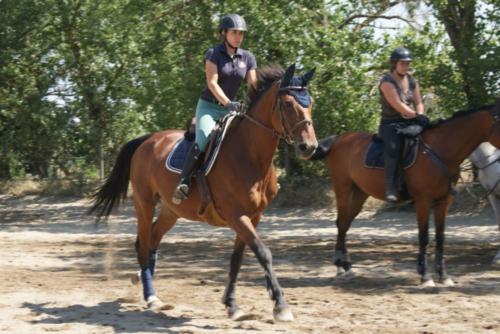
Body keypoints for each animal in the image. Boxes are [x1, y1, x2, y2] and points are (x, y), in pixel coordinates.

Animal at [89, 64, 316, 322]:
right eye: (288, 104)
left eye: (311, 103)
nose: (309, 147)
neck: (249, 153)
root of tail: (147, 140)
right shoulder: (236, 215)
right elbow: (263, 253)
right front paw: (280, 305)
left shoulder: (253, 216)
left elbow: (237, 259)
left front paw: (231, 304)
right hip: (144, 202)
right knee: (144, 243)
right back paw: (151, 296)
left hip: (171, 210)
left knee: (153, 240)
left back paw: (143, 282)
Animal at [310, 99, 500, 288]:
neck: (440, 151)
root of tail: (339, 139)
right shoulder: (423, 200)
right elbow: (423, 236)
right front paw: (425, 276)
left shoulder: (444, 200)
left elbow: (440, 237)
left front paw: (443, 275)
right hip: (343, 188)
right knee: (342, 223)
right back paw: (341, 266)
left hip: (359, 193)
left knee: (345, 224)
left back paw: (346, 266)